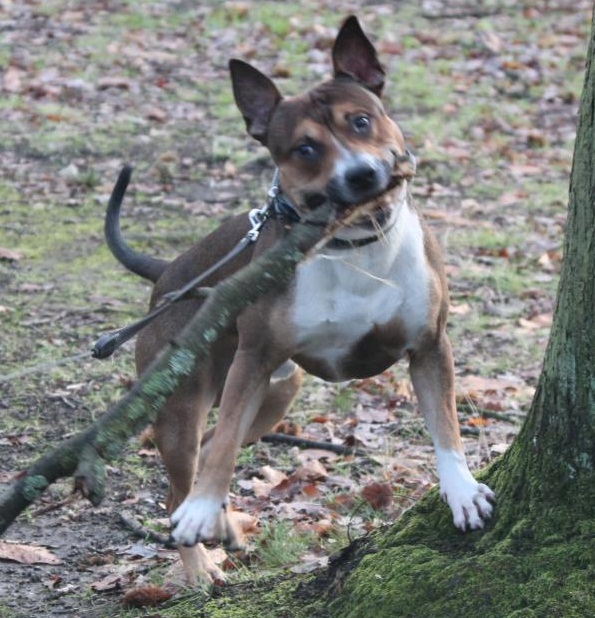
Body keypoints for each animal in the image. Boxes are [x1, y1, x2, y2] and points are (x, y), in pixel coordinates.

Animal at [105, 15, 496, 584]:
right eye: (304, 149)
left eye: (361, 121)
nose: (360, 175)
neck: (356, 246)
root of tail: (170, 273)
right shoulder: (253, 360)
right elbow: (223, 447)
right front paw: (200, 517)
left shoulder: (430, 348)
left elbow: (446, 429)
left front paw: (462, 492)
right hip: (185, 403)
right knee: (187, 477)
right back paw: (199, 559)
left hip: (277, 394)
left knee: (212, 447)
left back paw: (223, 525)